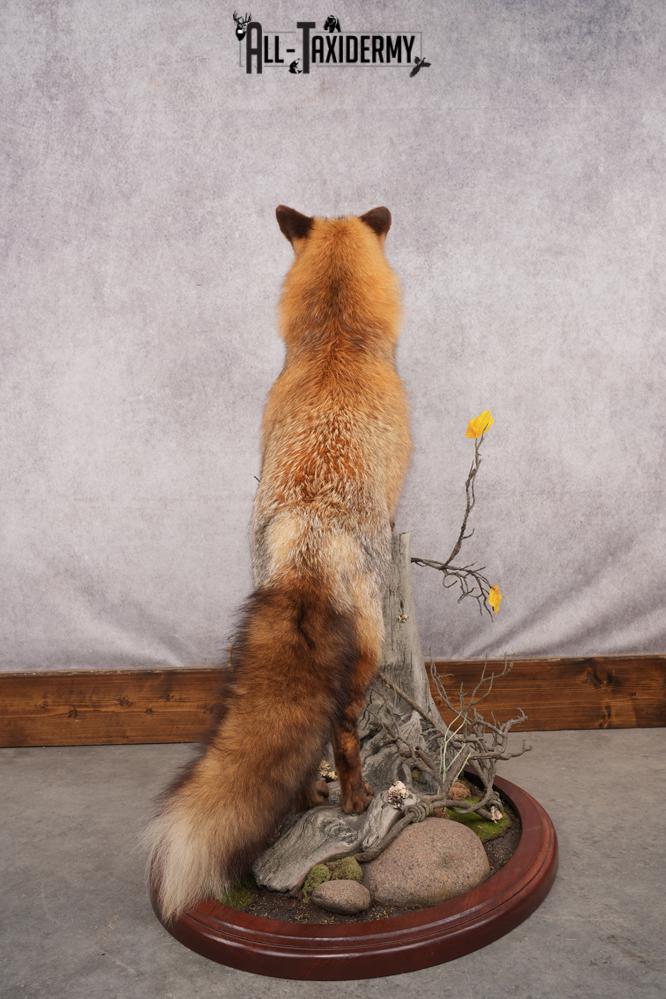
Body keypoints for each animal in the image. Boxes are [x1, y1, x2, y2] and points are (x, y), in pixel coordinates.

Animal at [145, 204, 412, 924]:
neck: (336, 343)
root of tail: (307, 551)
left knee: (306, 747)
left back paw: (308, 799)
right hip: (366, 657)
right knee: (343, 734)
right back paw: (352, 798)